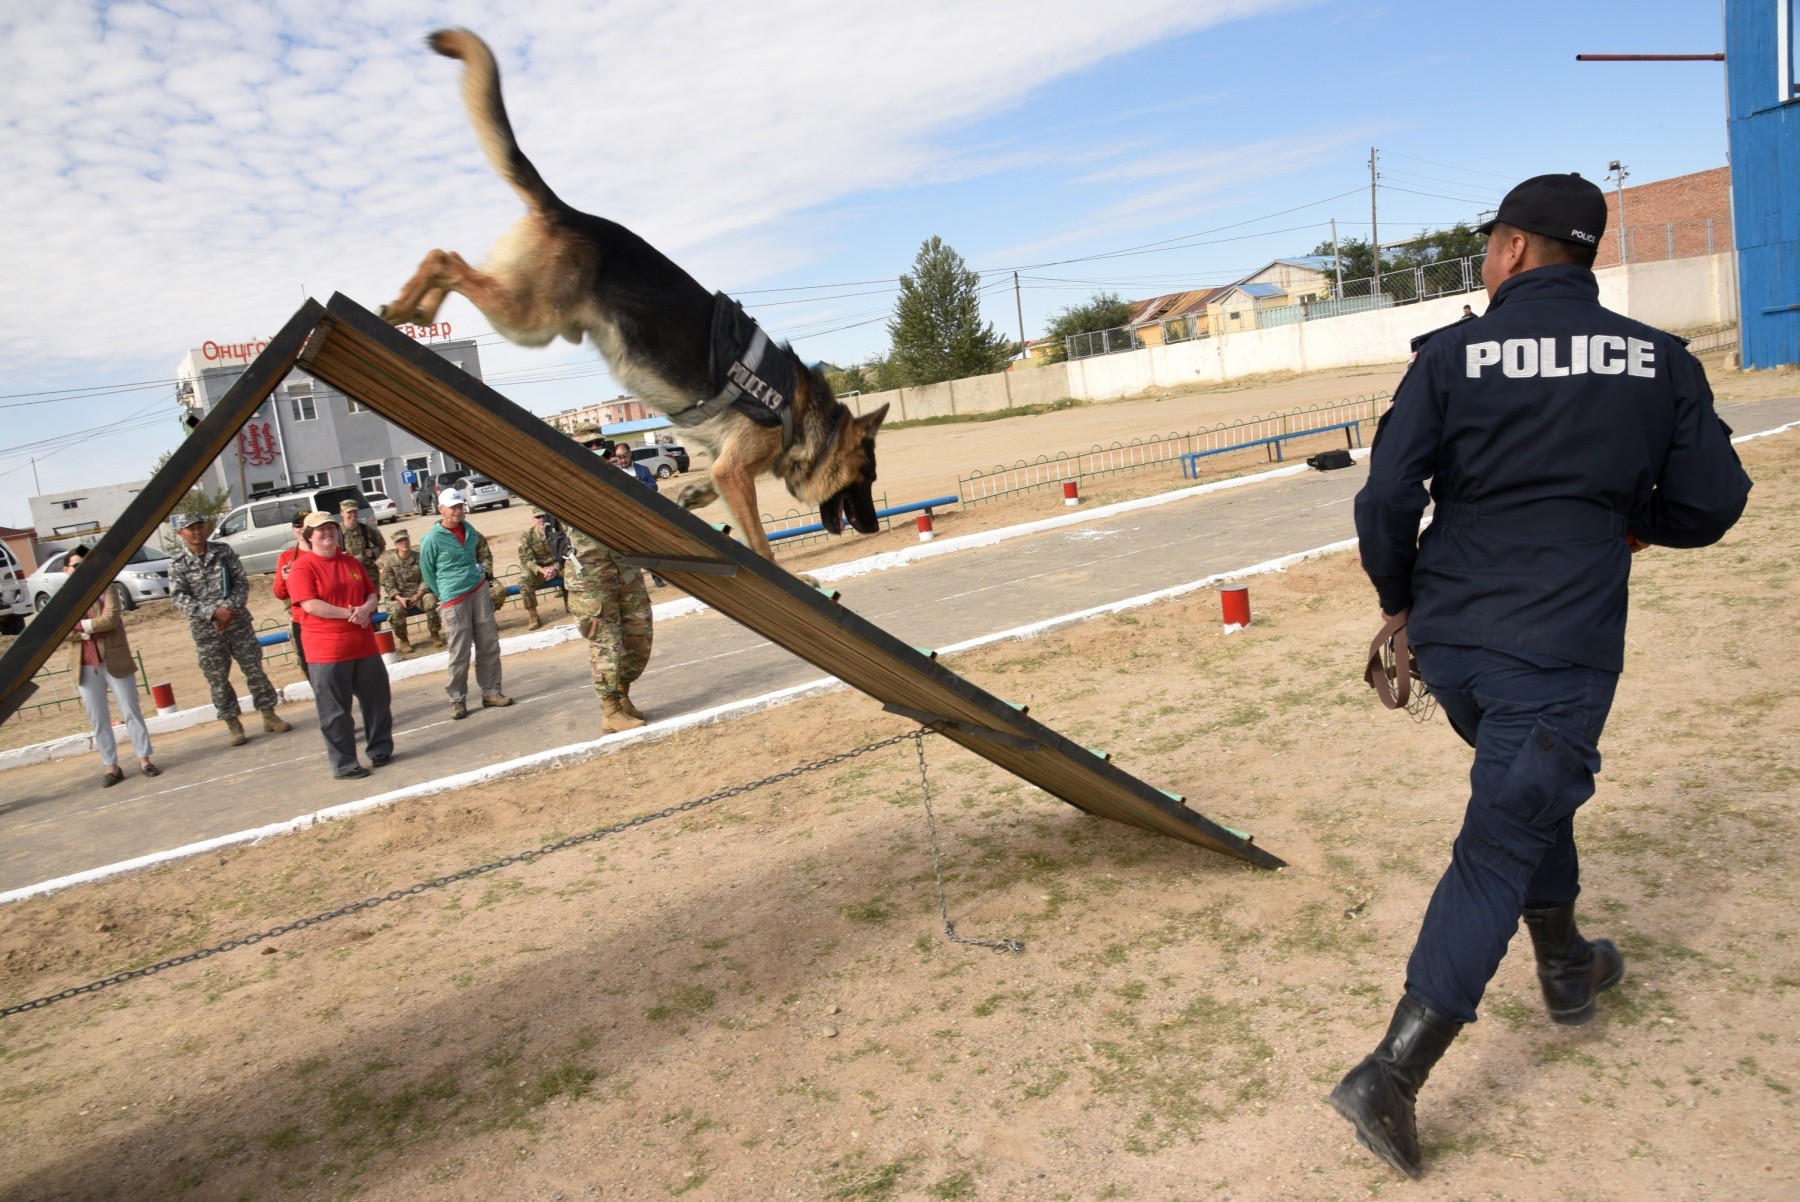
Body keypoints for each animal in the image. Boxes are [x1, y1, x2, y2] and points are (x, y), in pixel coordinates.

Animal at [378, 30, 885, 561]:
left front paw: (693, 493)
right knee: (444, 257)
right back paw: (406, 307)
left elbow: (714, 489)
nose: (873, 526)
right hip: (529, 317)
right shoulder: (735, 468)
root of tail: (565, 210)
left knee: (447, 260)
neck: (801, 411)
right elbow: (761, 547)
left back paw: (413, 307)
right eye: (865, 477)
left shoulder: (722, 464)